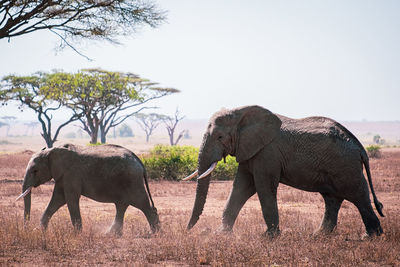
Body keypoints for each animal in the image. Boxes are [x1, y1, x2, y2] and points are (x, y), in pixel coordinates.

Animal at [17, 144, 159, 237]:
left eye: (35, 171)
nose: (26, 229)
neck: (52, 150)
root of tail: (140, 162)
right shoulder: (63, 177)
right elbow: (57, 200)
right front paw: (38, 231)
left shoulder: (71, 174)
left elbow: (70, 199)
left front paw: (77, 235)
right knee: (121, 205)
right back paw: (111, 234)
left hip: (132, 181)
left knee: (143, 205)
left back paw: (155, 234)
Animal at [184, 105, 384, 238]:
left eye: (219, 137)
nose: (187, 230)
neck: (241, 112)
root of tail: (360, 147)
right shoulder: (251, 151)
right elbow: (241, 188)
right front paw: (221, 234)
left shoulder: (267, 153)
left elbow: (263, 188)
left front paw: (269, 237)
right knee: (332, 198)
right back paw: (318, 235)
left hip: (346, 167)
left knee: (358, 196)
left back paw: (371, 237)